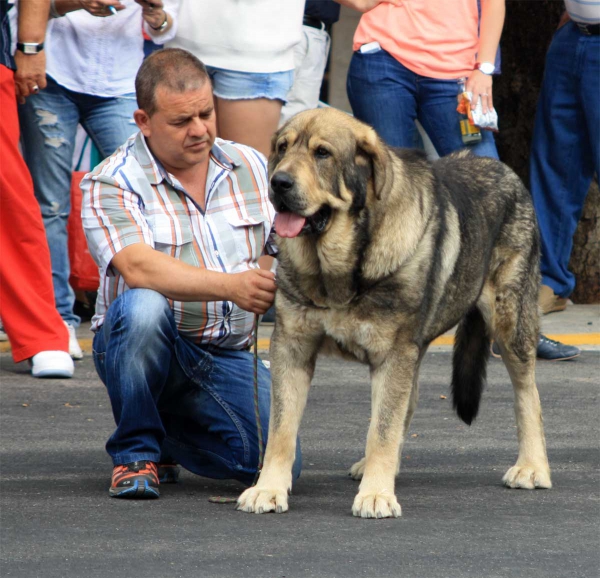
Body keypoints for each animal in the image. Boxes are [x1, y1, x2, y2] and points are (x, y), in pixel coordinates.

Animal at [237, 108, 552, 516]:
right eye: (282, 148)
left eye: (322, 153)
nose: (279, 183)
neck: (340, 268)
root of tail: (505, 171)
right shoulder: (292, 348)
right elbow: (281, 428)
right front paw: (268, 487)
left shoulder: (393, 354)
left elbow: (382, 428)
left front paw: (376, 494)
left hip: (510, 322)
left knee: (527, 394)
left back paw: (532, 466)